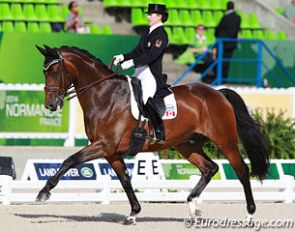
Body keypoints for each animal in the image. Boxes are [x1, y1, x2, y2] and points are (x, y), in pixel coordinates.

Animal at [35, 45, 270, 225]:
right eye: (44, 71)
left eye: (54, 71)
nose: (51, 105)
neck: (104, 95)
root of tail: (218, 93)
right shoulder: (111, 152)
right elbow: (125, 180)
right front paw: (133, 214)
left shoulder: (103, 145)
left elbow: (69, 160)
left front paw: (43, 192)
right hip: (187, 145)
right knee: (209, 168)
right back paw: (192, 207)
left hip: (225, 141)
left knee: (241, 170)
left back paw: (249, 214)